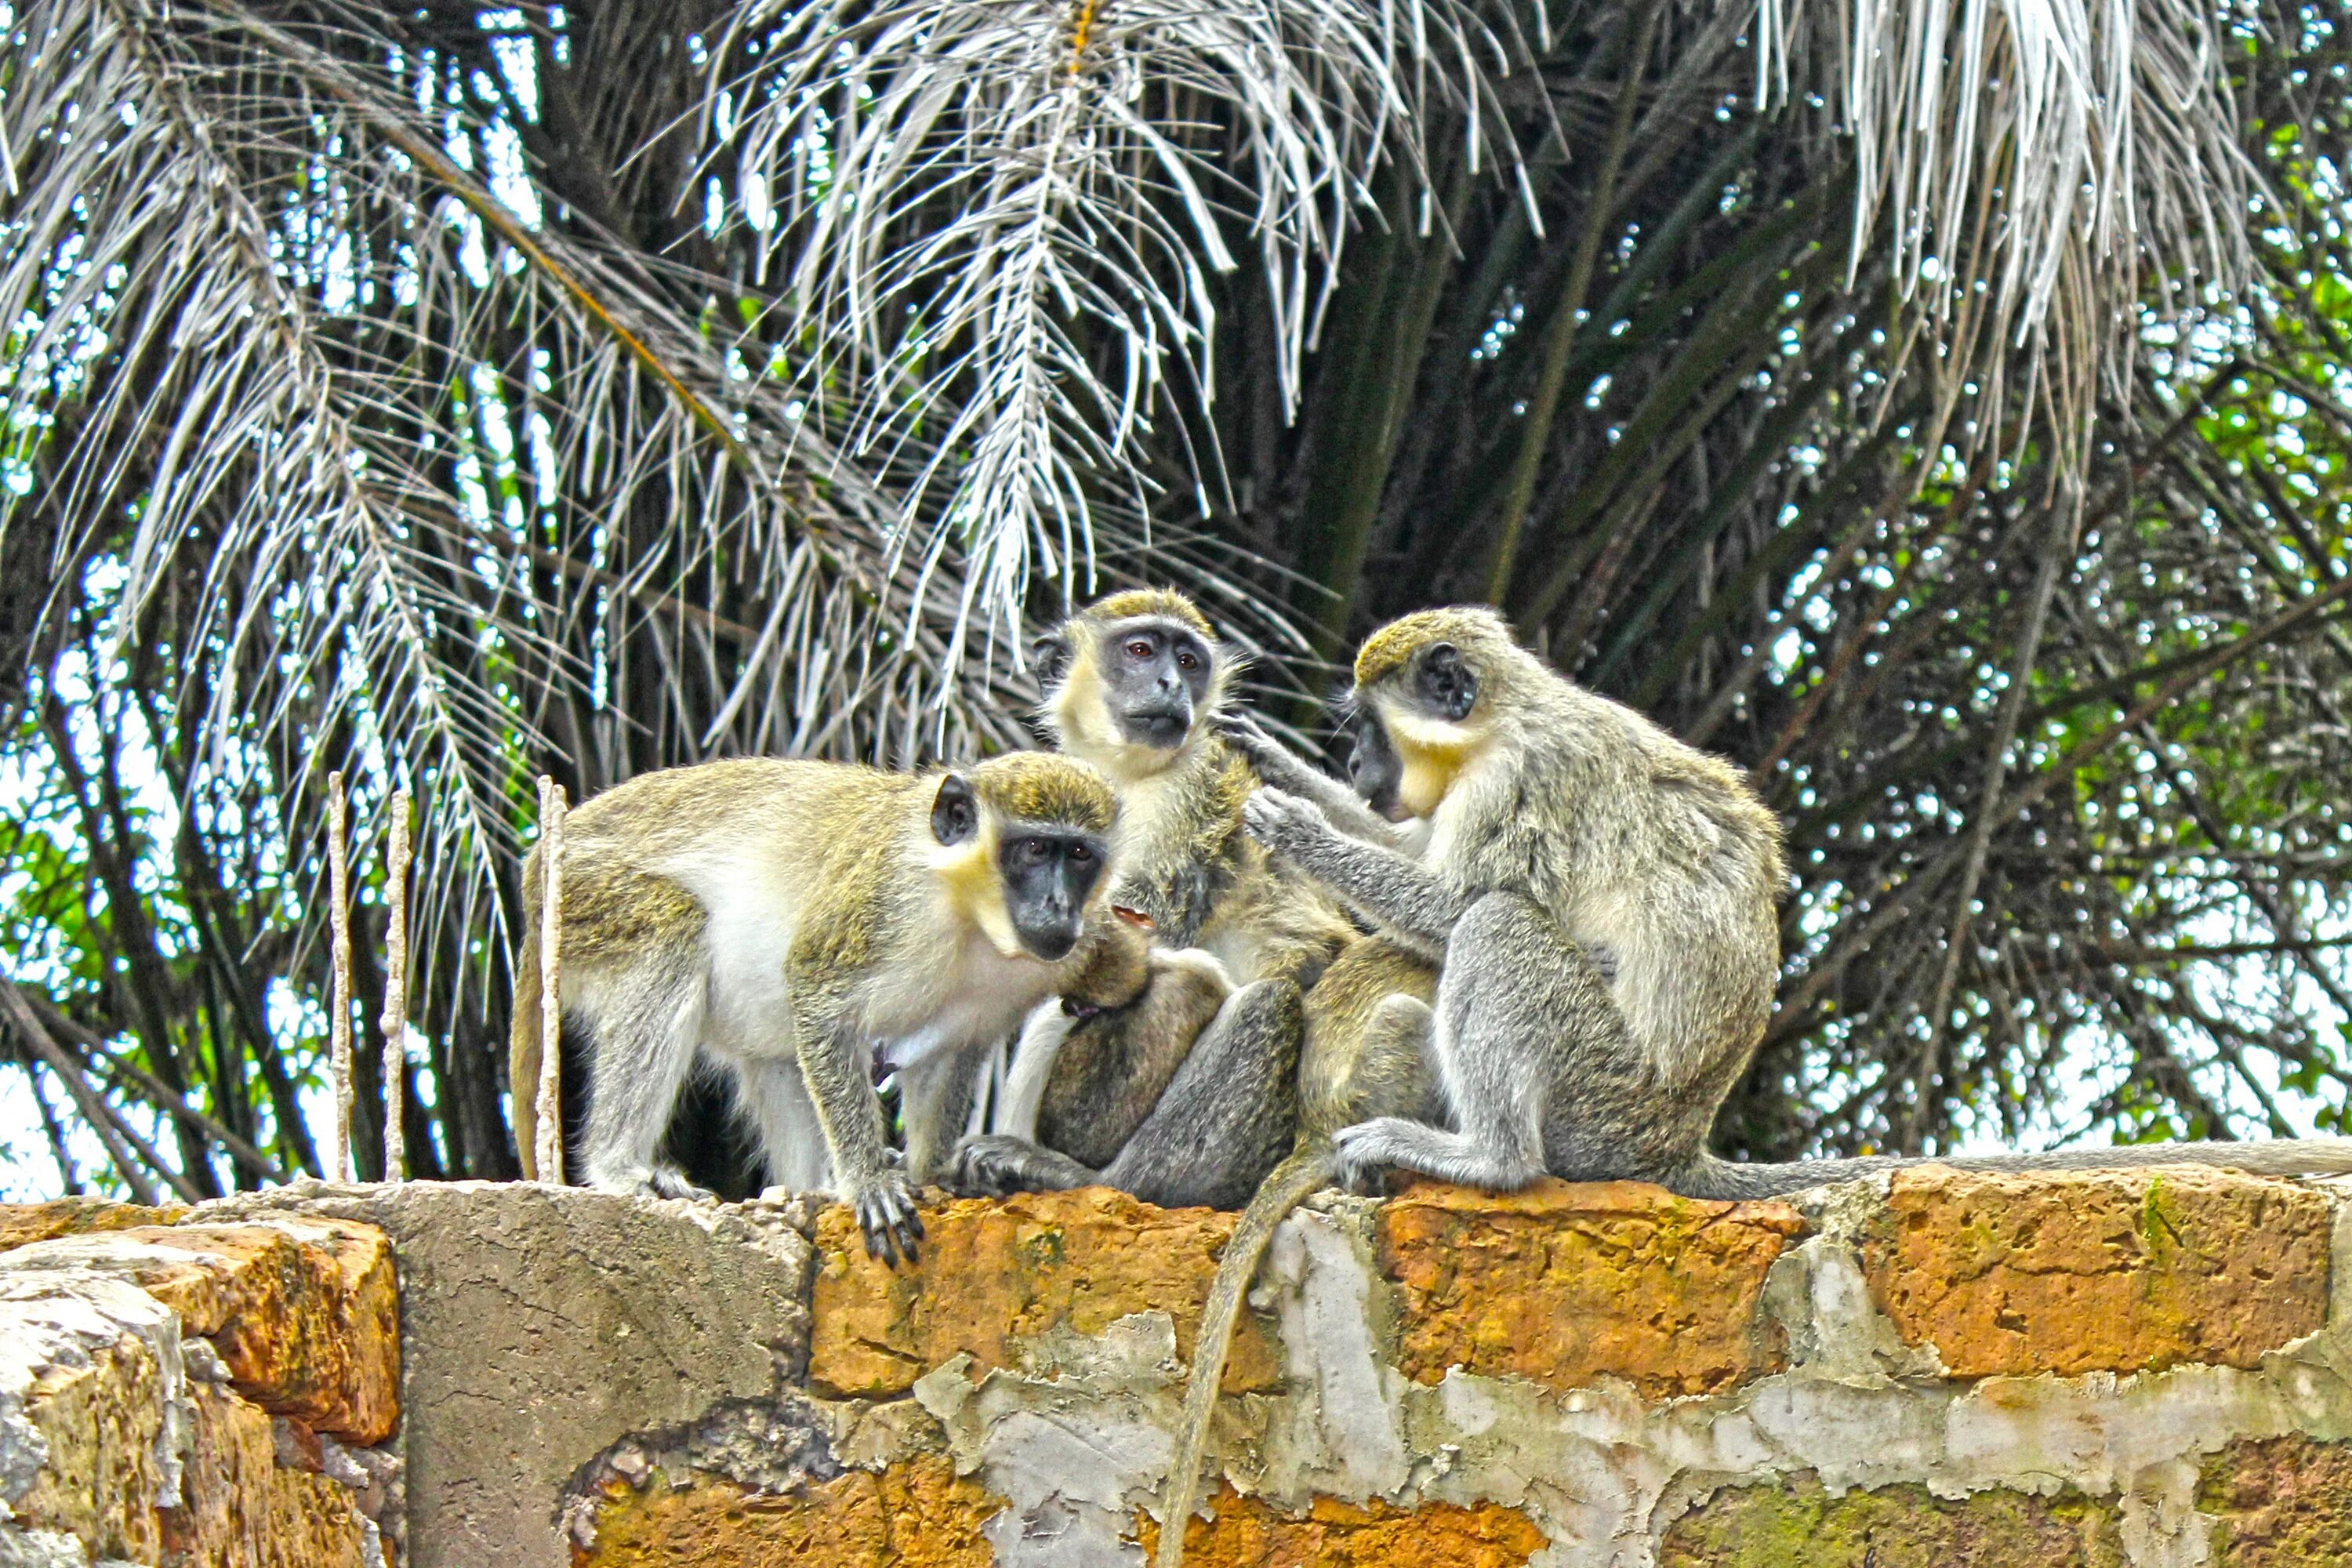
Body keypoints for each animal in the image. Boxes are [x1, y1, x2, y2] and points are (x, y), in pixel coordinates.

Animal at [503, 752, 1120, 1260]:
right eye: (1036, 849)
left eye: (1080, 855)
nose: (1059, 905)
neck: (969, 915)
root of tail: (539, 862)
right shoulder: (882, 899)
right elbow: (819, 996)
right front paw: (869, 1181)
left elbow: (951, 1055)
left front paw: (934, 1174)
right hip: (580, 895)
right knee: (671, 929)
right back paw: (618, 1167)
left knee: (776, 1061)